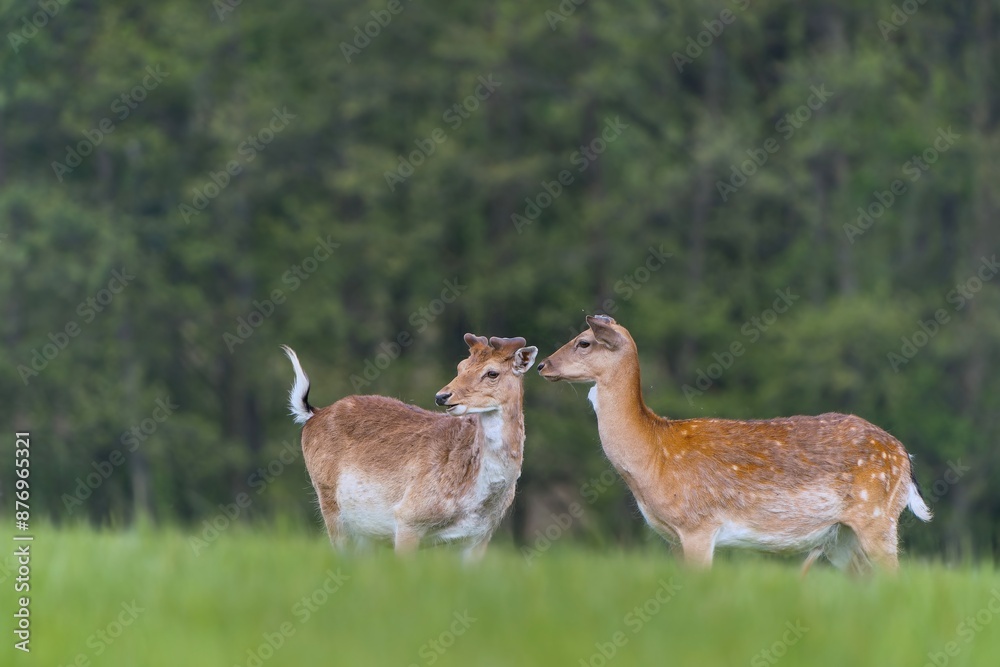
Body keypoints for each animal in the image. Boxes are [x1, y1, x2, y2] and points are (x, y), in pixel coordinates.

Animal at [282, 336, 536, 560]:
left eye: (492, 372)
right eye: (461, 366)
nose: (442, 396)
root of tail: (313, 413)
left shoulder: (480, 536)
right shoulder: (407, 517)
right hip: (331, 505)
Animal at [536, 316, 932, 572]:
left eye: (583, 341)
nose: (542, 365)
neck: (653, 454)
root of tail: (904, 456)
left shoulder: (698, 524)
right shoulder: (673, 538)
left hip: (877, 516)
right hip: (842, 537)